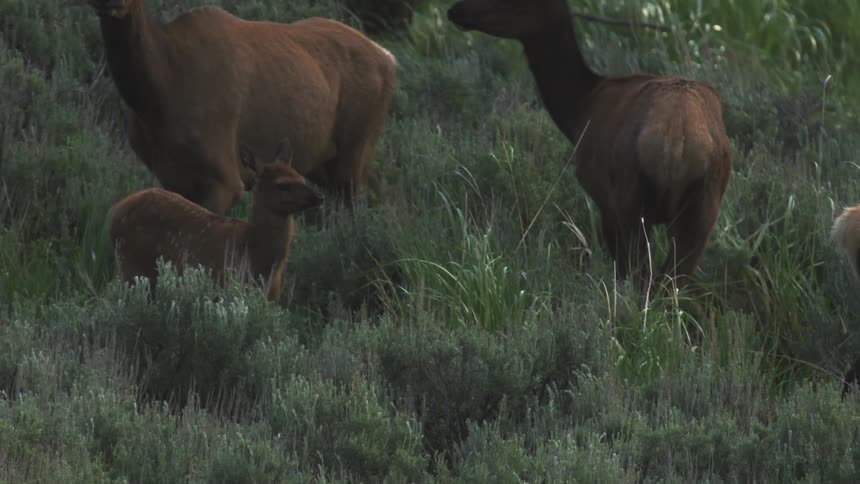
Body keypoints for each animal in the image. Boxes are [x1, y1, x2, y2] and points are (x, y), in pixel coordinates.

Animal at [88, 0, 397, 214]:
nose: (110, 1)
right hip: (324, 163)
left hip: (356, 149)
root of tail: (388, 57)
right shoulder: (171, 175)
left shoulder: (224, 173)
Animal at [109, 141, 324, 302]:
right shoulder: (225, 283)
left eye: (301, 177)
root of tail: (114, 214)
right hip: (132, 267)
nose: (319, 197)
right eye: (283, 185)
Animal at [447, 0, 733, 290]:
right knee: (674, 278)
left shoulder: (601, 195)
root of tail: (676, 139)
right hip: (706, 202)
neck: (578, 111)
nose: (454, 10)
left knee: (643, 276)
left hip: (629, 194)